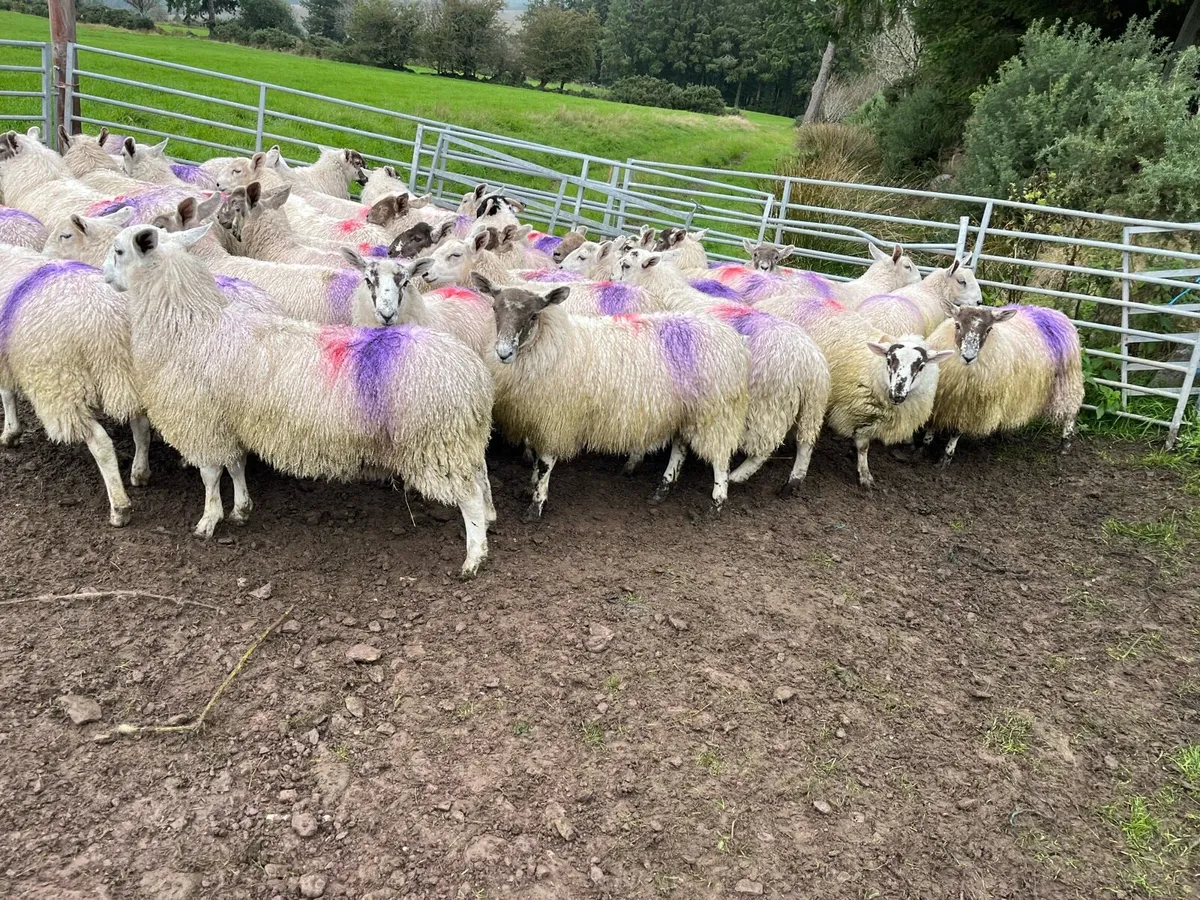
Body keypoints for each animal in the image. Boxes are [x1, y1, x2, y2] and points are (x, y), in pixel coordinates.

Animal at [0, 247, 151, 523]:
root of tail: (111, 324)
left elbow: (6, 393)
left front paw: (10, 433)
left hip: (62, 385)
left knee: (101, 443)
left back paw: (119, 507)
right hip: (130, 376)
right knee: (141, 426)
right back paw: (140, 472)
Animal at [103, 222, 497, 577]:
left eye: (119, 250)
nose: (105, 276)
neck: (189, 324)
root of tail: (475, 375)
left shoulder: (201, 419)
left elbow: (211, 474)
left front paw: (207, 521)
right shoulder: (231, 419)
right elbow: (236, 465)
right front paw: (241, 509)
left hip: (436, 443)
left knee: (469, 499)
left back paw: (474, 558)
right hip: (457, 441)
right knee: (481, 478)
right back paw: (490, 521)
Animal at [473, 272, 750, 519]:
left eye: (533, 315)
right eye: (495, 309)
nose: (503, 352)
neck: (554, 345)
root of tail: (733, 339)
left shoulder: (558, 419)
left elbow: (545, 464)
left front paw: (536, 505)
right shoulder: (539, 417)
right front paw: (531, 486)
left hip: (716, 413)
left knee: (720, 459)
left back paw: (716, 504)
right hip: (687, 410)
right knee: (680, 448)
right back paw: (663, 489)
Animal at [618, 249, 830, 491]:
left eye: (626, 265)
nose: (612, 280)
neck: (668, 290)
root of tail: (812, 366)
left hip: (769, 405)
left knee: (764, 448)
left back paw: (739, 475)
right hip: (812, 408)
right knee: (806, 443)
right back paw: (794, 480)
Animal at [926, 302, 1084, 466]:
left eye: (989, 329)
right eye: (957, 325)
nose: (968, 357)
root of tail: (1057, 314)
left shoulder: (971, 405)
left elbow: (956, 431)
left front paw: (946, 457)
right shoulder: (942, 398)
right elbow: (932, 421)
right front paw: (926, 444)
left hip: (1068, 380)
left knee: (1071, 412)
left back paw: (1065, 443)